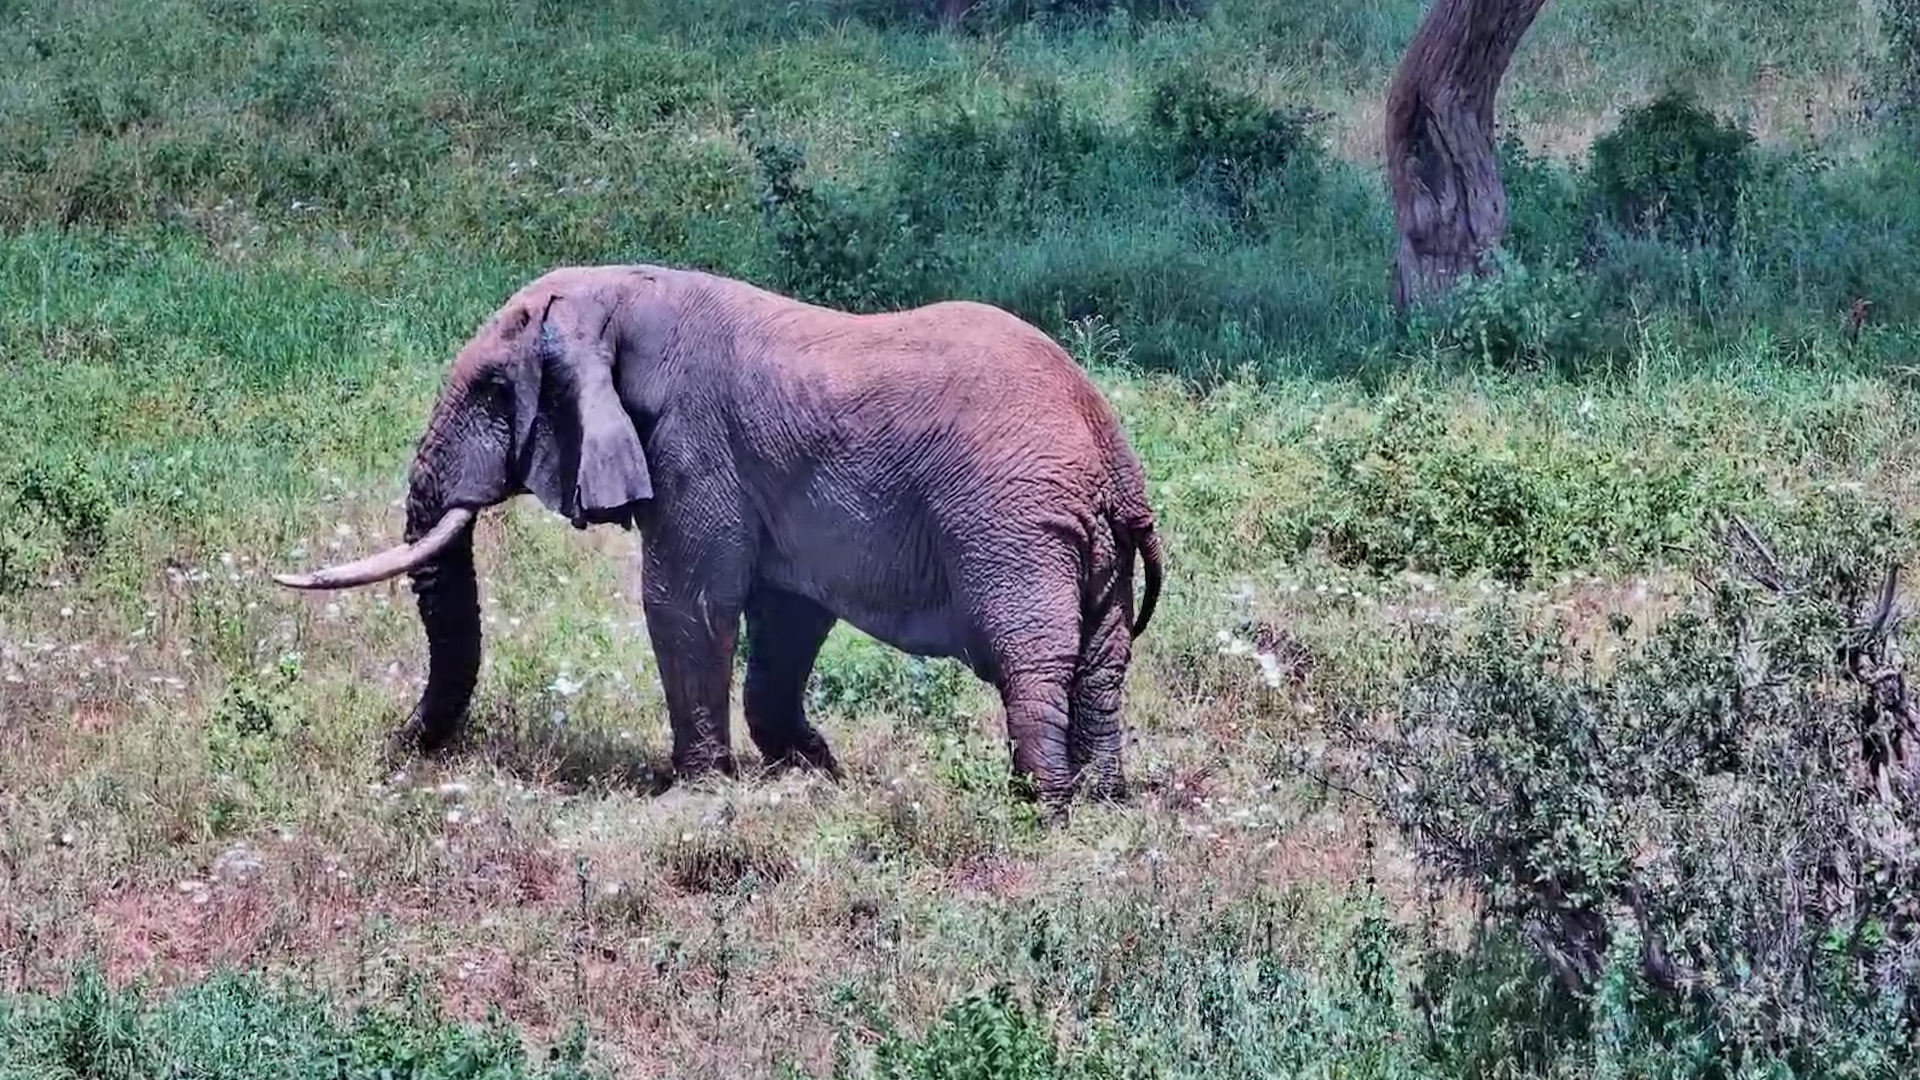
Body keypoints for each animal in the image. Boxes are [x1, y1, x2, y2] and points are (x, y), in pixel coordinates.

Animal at [273, 264, 1164, 815]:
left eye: (495, 392)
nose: (395, 753)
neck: (616, 298)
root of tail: (1113, 461)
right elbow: (786, 614)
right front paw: (814, 773)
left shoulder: (692, 447)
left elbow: (687, 605)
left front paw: (698, 794)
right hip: (1087, 539)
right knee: (1102, 659)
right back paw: (1101, 800)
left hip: (1011, 525)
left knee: (1030, 656)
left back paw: (1043, 806)